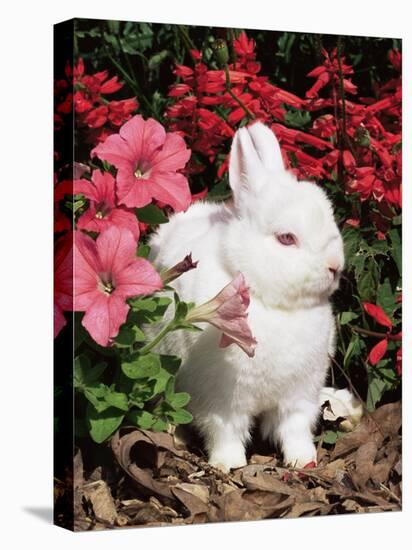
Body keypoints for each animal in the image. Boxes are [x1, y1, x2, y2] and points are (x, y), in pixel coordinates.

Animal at [149, 122, 344, 474]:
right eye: (286, 238)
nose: (335, 266)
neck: (272, 302)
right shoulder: (222, 401)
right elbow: (225, 431)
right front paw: (227, 463)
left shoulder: (299, 398)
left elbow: (294, 430)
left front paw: (304, 460)